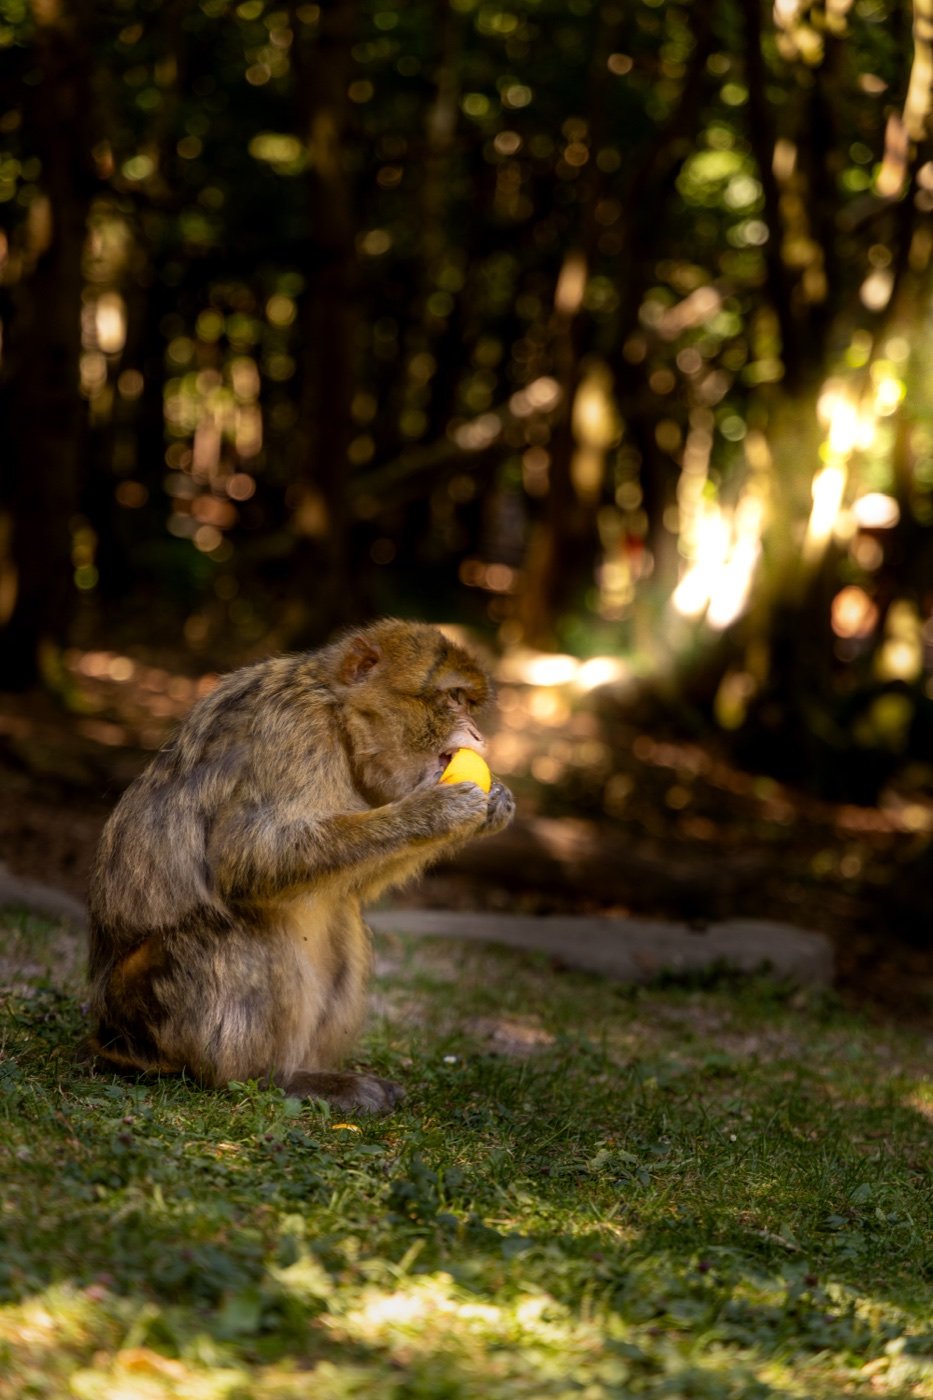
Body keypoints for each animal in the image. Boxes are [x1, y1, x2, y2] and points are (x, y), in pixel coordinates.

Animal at [87, 619, 515, 1114]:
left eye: (469, 702)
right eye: (453, 698)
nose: (479, 736)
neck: (338, 715)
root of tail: (110, 1036)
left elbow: (348, 887)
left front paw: (493, 806)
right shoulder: (292, 729)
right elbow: (246, 855)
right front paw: (432, 812)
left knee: (340, 913)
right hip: (149, 1010)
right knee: (238, 930)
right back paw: (271, 1078)